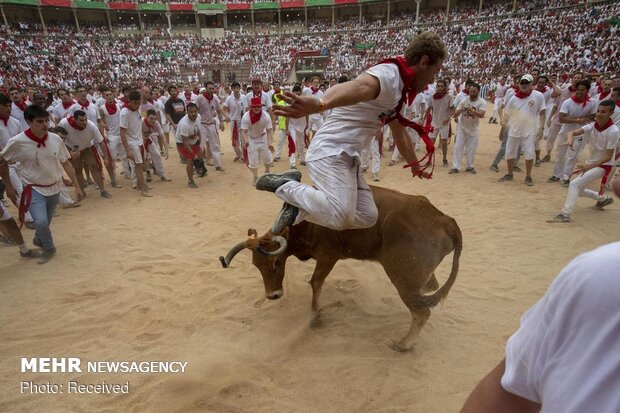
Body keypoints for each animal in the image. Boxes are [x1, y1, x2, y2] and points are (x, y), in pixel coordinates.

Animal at [220, 186, 462, 350]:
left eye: (276, 262)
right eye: (256, 265)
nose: (273, 295)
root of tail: (445, 220)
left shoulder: (328, 256)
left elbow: (316, 282)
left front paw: (315, 316)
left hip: (403, 281)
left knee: (421, 312)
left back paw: (403, 344)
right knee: (431, 288)